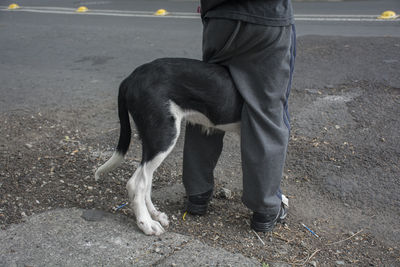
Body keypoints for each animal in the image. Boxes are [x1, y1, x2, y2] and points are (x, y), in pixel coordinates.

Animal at [95, 58, 244, 237]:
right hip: (165, 135)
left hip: (152, 140)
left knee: (144, 180)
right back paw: (146, 223)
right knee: (136, 184)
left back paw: (154, 215)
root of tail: (131, 78)